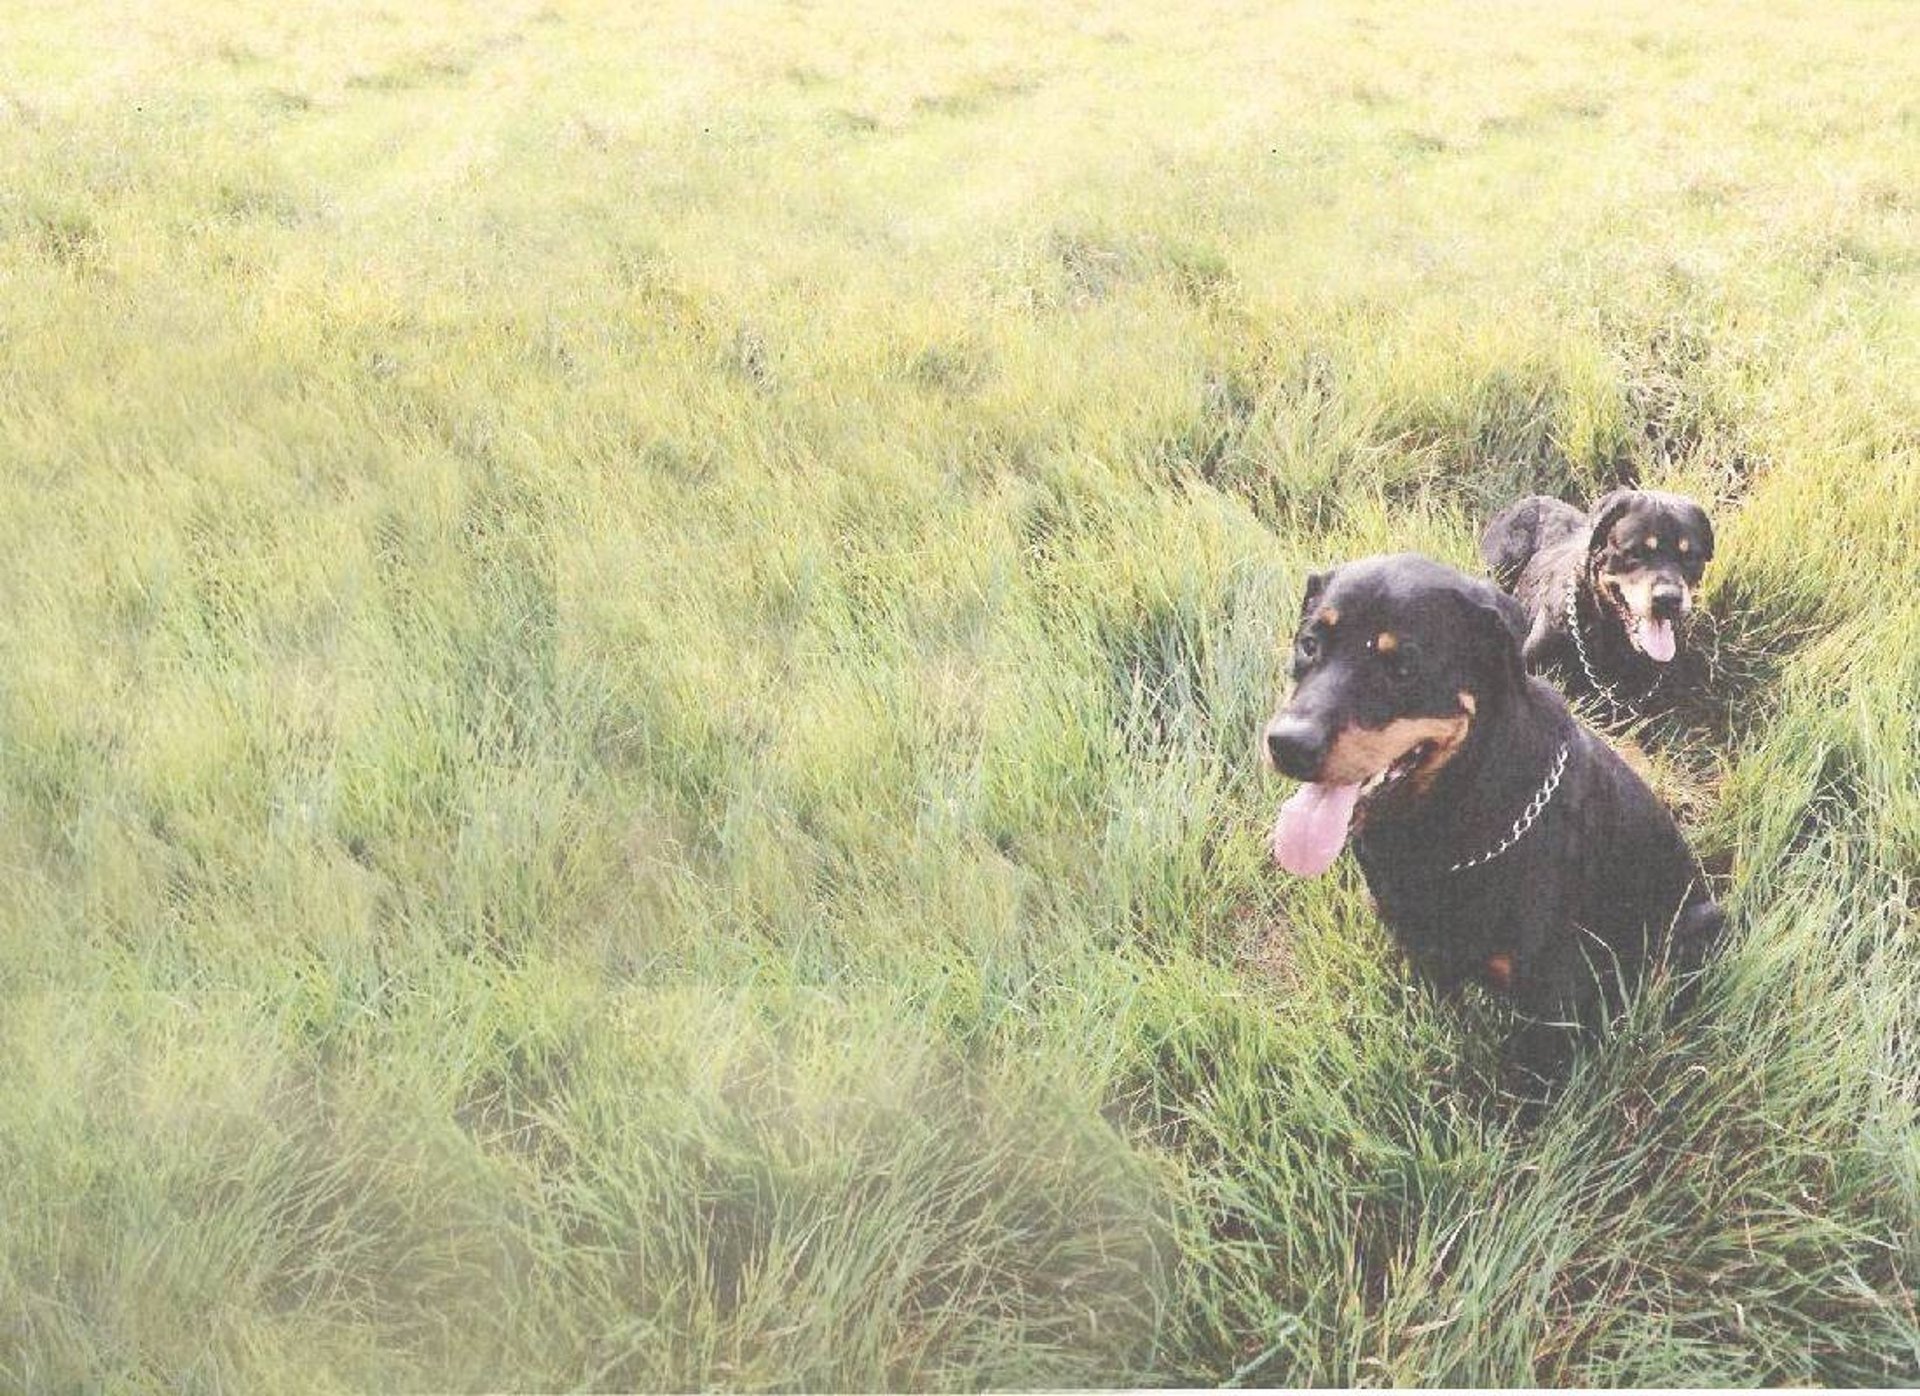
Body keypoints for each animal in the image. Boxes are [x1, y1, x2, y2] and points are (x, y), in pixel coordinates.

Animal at [1259, 553, 1728, 1067]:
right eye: (1309, 645)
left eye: (1402, 667)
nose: (1288, 744)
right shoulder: (1423, 951)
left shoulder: (1550, 996)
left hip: (1696, 925)